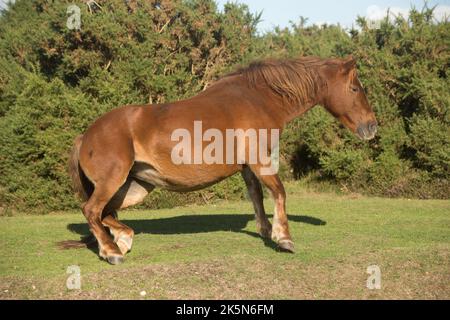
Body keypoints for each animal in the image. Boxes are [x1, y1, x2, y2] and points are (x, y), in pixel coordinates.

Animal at [65, 55, 378, 264]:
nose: (372, 126)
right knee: (91, 210)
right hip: (114, 182)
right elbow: (278, 191)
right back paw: (112, 252)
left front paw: (266, 232)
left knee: (105, 213)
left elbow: (257, 197)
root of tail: (86, 135)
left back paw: (122, 240)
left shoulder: (248, 167)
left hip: (135, 187)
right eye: (354, 89)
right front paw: (284, 238)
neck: (259, 98)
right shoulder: (260, 159)